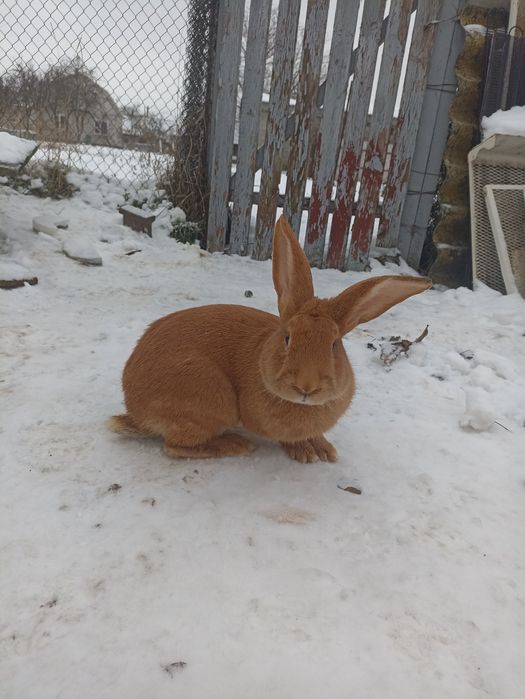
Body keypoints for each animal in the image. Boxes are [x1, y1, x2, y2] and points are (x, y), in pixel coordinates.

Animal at [108, 215, 431, 462]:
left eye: (334, 344)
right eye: (287, 338)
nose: (306, 387)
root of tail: (135, 410)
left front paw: (325, 450)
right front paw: (306, 453)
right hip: (209, 400)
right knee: (175, 447)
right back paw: (235, 445)